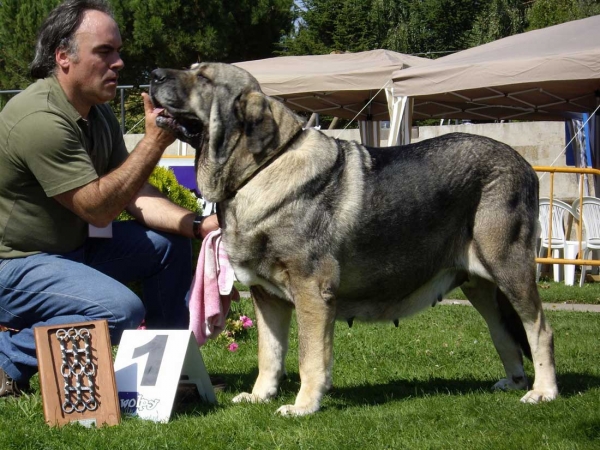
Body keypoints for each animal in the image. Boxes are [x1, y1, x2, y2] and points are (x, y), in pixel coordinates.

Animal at [149, 61, 556, 416]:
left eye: (203, 78)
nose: (151, 74)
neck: (261, 169)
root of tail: (525, 165)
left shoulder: (312, 292)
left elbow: (309, 356)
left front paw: (303, 406)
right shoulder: (267, 298)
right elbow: (270, 353)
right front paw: (259, 395)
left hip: (509, 269)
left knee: (540, 329)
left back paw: (543, 392)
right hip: (479, 284)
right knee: (504, 332)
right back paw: (515, 382)